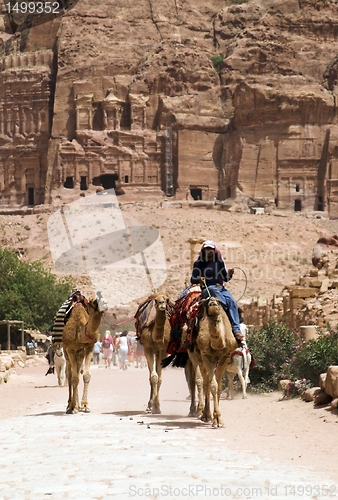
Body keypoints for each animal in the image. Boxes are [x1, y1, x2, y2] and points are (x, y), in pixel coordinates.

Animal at [190, 294, 238, 428]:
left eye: (219, 301)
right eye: (207, 303)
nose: (213, 303)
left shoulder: (225, 356)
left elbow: (220, 387)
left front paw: (218, 419)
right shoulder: (206, 356)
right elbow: (213, 385)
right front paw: (217, 419)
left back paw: (207, 415)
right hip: (197, 356)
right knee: (204, 382)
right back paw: (205, 415)